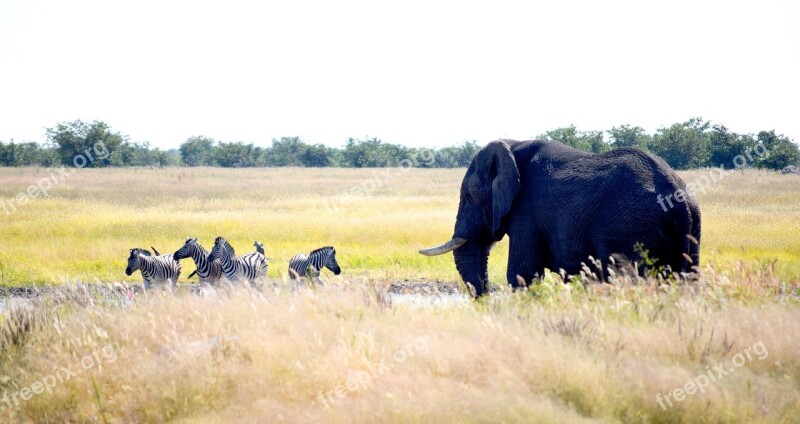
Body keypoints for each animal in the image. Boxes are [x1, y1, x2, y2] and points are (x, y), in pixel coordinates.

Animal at [418, 139, 700, 294]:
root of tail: (678, 197)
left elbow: (523, 272)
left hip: (629, 229)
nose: (486, 299)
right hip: (692, 229)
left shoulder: (527, 213)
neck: (513, 144)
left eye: (468, 196)